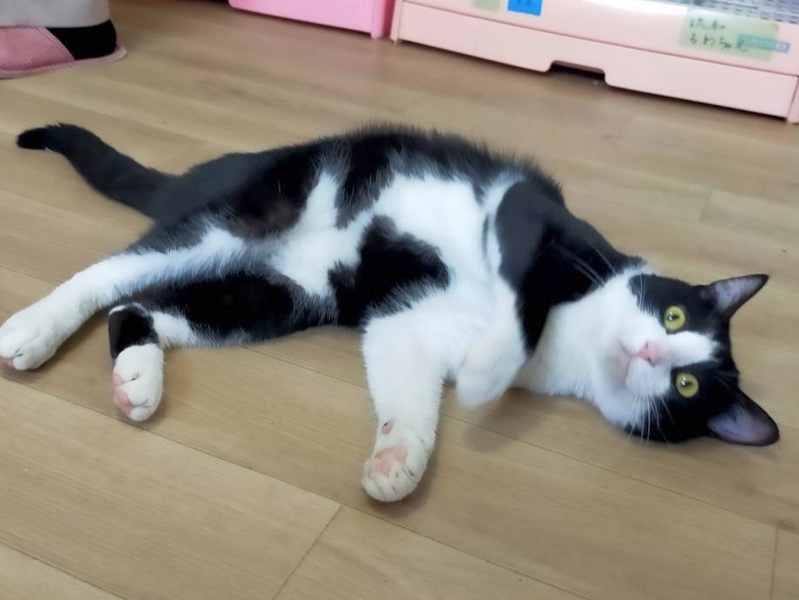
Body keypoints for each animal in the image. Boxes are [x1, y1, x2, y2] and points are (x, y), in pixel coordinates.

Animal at [0, 123, 778, 503]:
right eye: (673, 318)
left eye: (686, 385)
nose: (651, 354)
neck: (577, 334)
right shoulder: (531, 211)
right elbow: (521, 297)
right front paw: (490, 373)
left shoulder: (405, 324)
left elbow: (408, 389)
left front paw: (397, 461)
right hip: (253, 213)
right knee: (112, 271)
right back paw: (33, 329)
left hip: (283, 297)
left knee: (142, 304)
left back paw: (136, 378)